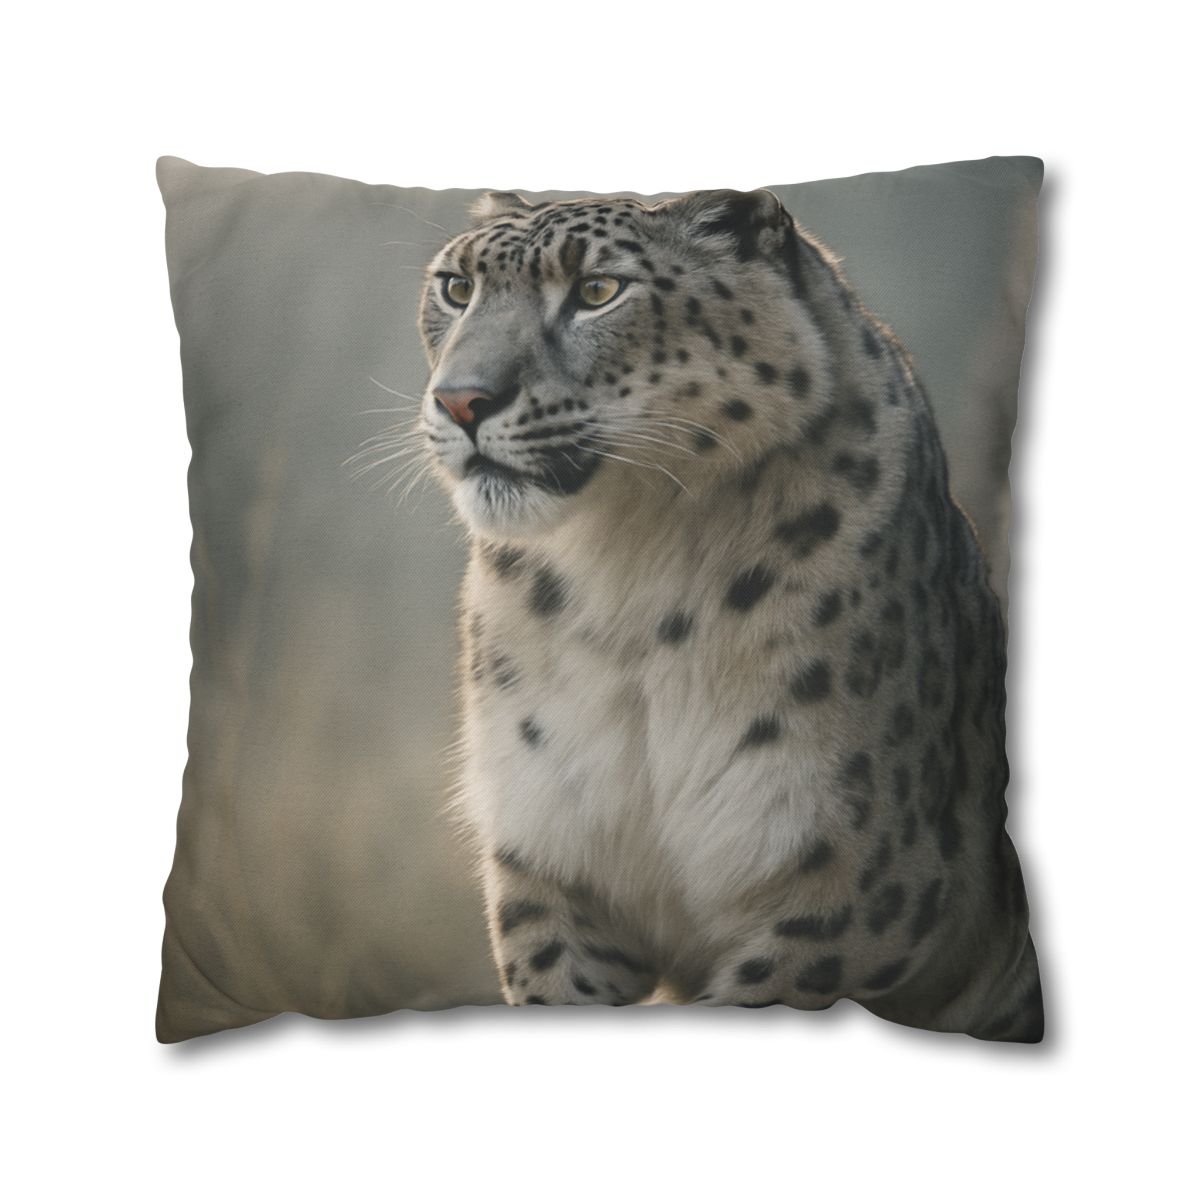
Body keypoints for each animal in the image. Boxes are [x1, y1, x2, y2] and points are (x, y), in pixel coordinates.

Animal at [414, 186, 1043, 1041]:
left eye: (597, 290)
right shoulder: (550, 857)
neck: (625, 574)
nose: (461, 399)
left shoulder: (849, 893)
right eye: (456, 288)